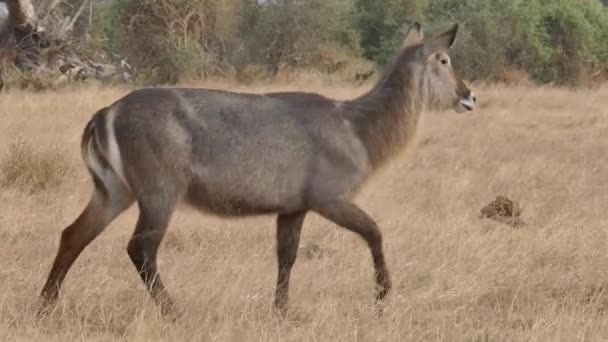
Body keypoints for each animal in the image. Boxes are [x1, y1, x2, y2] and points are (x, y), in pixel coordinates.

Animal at [39, 21, 476, 316]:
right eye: (444, 59)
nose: (469, 96)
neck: (358, 127)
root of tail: (105, 112)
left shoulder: (293, 208)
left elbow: (286, 257)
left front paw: (281, 311)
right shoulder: (331, 199)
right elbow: (375, 232)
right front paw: (383, 296)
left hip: (113, 191)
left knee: (73, 234)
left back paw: (46, 306)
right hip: (159, 192)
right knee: (140, 248)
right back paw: (174, 311)